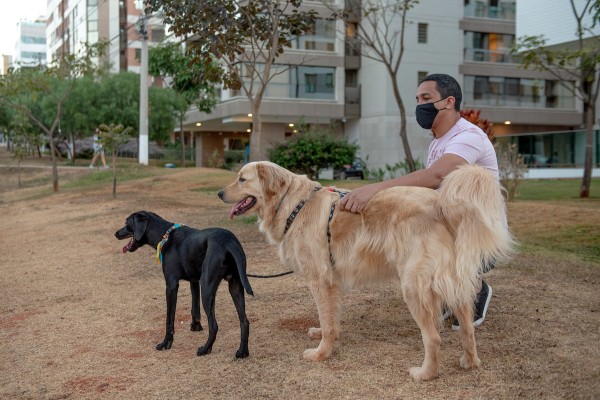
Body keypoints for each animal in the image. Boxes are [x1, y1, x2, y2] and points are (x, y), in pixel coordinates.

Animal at [115, 211, 253, 358]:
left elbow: (169, 318)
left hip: (207, 287)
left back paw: (205, 349)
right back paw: (242, 352)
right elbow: (194, 308)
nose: (116, 233)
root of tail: (228, 241)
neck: (164, 235)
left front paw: (166, 343)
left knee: (214, 325)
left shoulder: (171, 286)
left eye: (126, 222)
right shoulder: (194, 281)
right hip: (235, 286)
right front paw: (196, 326)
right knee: (244, 321)